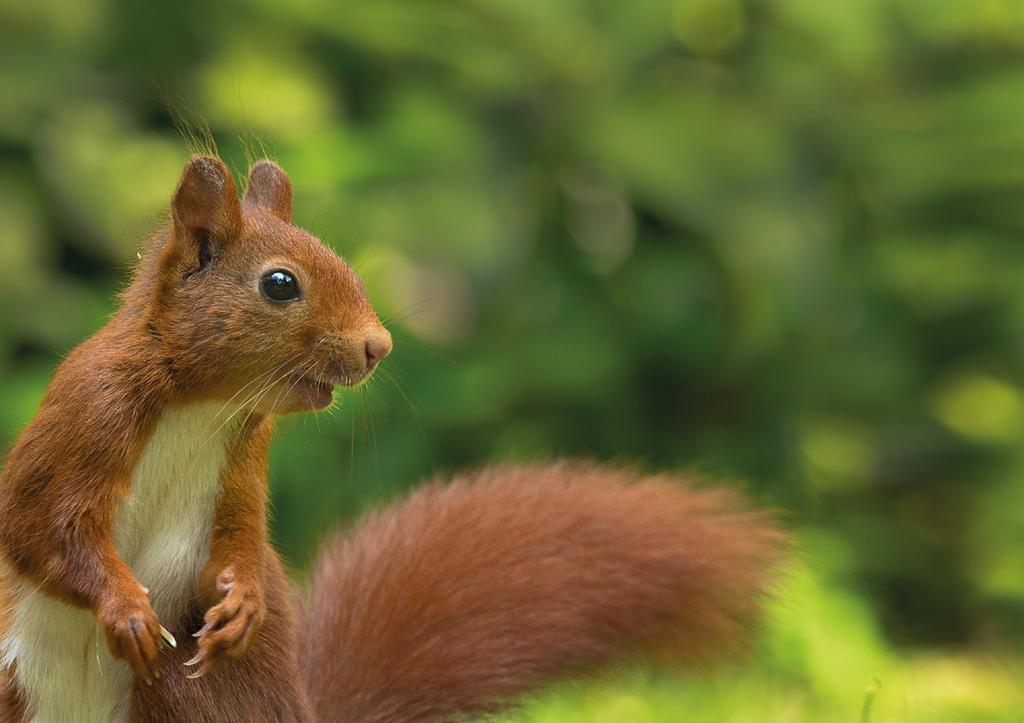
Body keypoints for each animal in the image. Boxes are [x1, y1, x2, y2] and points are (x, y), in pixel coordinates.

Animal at [0, 154, 786, 716]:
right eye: (280, 284)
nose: (377, 346)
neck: (204, 407)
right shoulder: (88, 414)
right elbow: (42, 526)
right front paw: (128, 610)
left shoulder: (244, 456)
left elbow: (240, 535)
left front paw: (244, 597)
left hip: (202, 692)